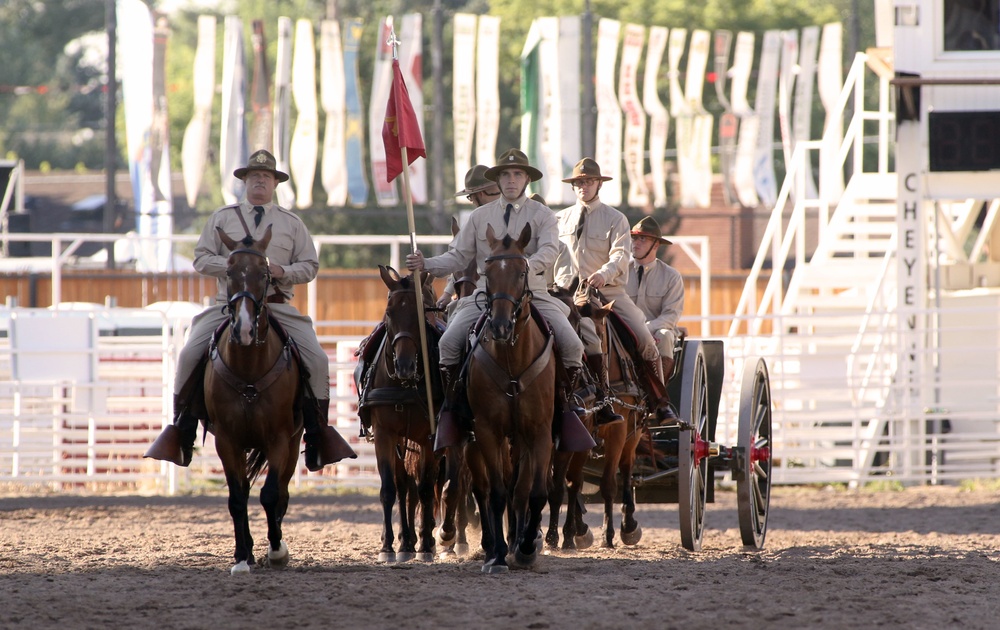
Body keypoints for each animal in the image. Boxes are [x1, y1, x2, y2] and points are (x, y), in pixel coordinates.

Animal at [201, 228, 298, 576]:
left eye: (265, 274)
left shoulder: (280, 438)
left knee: (281, 491)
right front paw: (242, 557)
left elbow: (270, 495)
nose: (243, 328)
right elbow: (237, 498)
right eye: (229, 272)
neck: (249, 371)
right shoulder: (227, 441)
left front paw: (278, 550)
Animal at [468, 225, 556, 576]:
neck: (511, 362)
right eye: (487, 273)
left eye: (521, 272)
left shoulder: (540, 432)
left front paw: (527, 546)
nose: (501, 326)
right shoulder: (487, 432)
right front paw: (497, 555)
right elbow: (496, 493)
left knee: (522, 491)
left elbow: (536, 494)